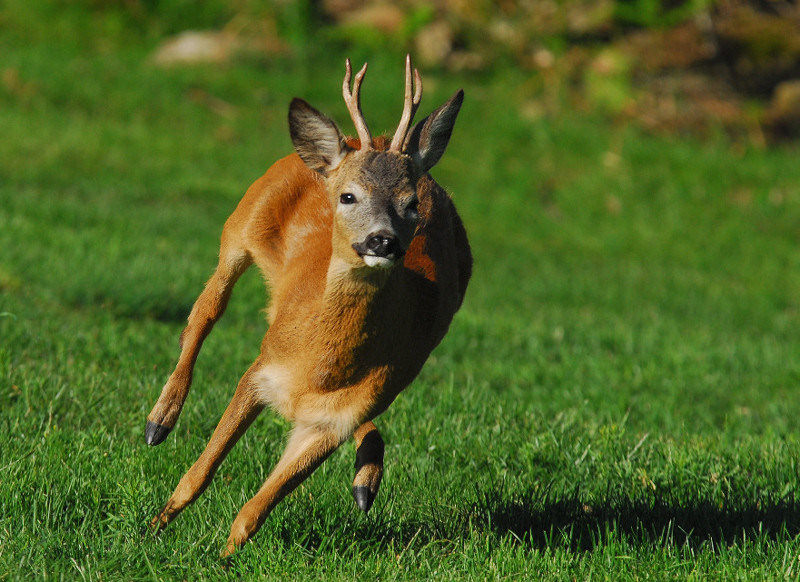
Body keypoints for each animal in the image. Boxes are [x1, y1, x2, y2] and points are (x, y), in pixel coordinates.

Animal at [144, 53, 472, 556]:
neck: (318, 366)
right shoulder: (260, 371)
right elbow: (200, 471)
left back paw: (366, 479)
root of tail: (359, 140)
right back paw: (159, 420)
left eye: (412, 203)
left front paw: (224, 557)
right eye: (348, 195)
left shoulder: (330, 422)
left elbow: (256, 509)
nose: (383, 240)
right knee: (204, 311)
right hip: (240, 223)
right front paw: (154, 528)